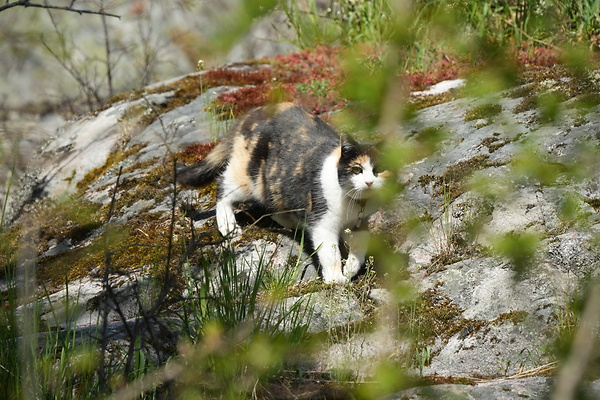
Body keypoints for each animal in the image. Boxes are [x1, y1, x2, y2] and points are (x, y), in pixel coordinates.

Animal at [178, 102, 388, 283]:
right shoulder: (322, 222)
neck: (355, 204)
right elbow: (330, 252)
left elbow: (360, 248)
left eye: (378, 170)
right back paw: (228, 225)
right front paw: (336, 278)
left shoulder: (361, 224)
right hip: (249, 179)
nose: (369, 182)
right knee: (223, 188)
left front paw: (350, 269)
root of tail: (250, 114)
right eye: (357, 169)